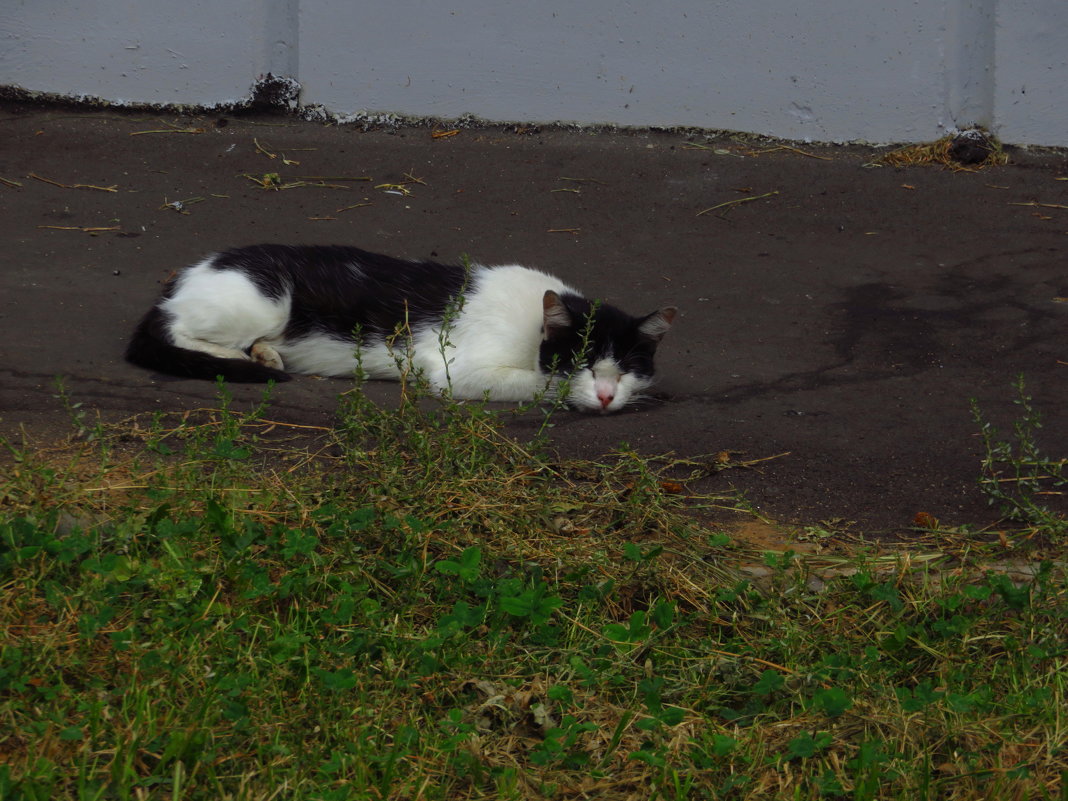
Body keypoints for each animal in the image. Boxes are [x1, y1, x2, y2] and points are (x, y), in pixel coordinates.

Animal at [124, 244, 674, 414]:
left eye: (626, 369)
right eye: (582, 362)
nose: (606, 395)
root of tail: (188, 273)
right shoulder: (456, 369)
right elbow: (539, 384)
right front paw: (572, 394)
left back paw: (264, 354)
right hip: (265, 304)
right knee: (173, 330)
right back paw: (241, 357)